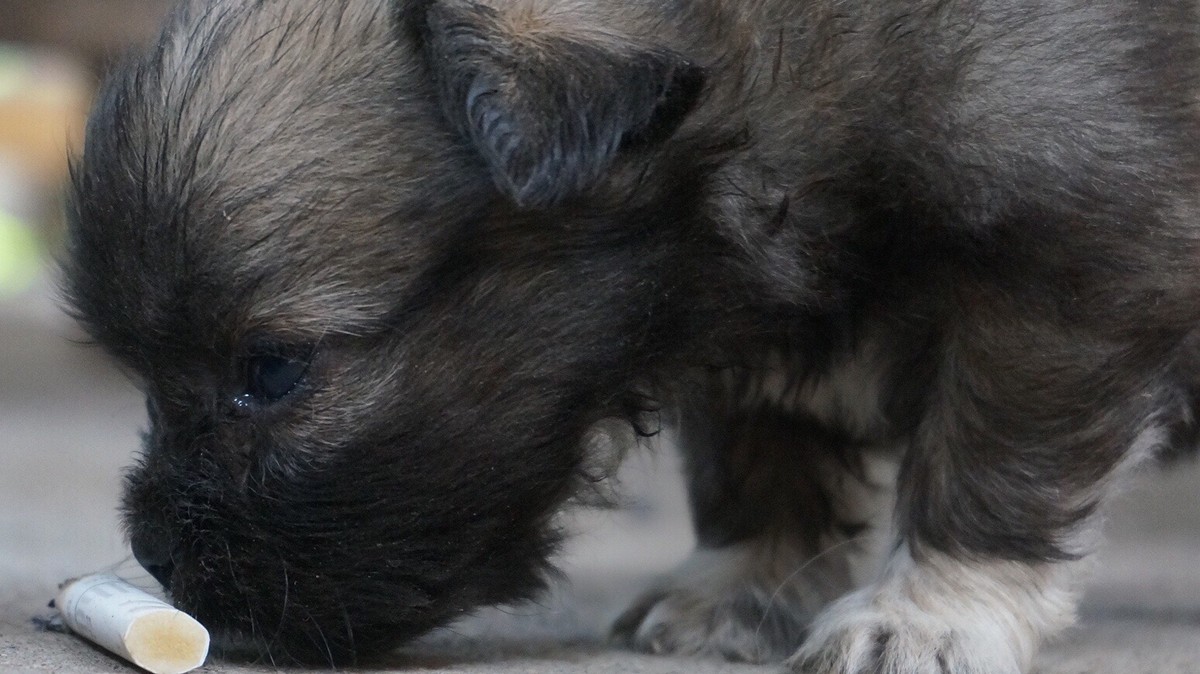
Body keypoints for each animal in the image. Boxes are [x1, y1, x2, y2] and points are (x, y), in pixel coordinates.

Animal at [63, 0, 1200, 666]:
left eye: (271, 370)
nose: (154, 553)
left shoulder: (1059, 275)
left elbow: (993, 469)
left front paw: (929, 611)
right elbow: (758, 459)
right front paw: (745, 586)